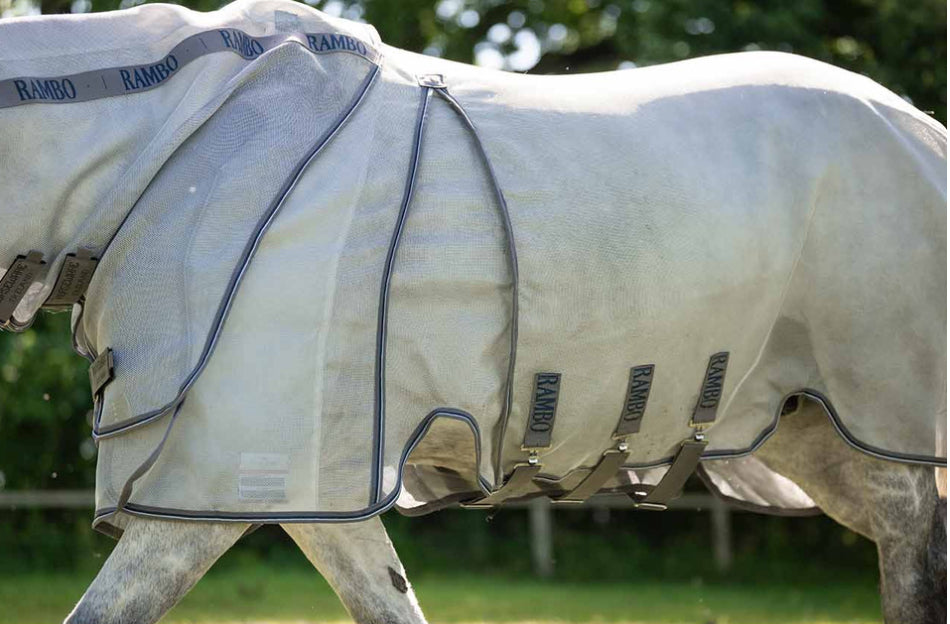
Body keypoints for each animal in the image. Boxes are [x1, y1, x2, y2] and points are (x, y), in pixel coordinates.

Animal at [0, 1, 944, 622]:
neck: (176, 143)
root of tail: (917, 124)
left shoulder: (215, 483)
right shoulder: (305, 483)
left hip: (886, 434)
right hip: (814, 434)